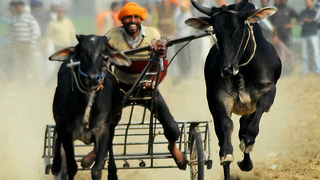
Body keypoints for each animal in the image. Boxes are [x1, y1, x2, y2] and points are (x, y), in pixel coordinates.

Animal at [49, 34, 131, 179]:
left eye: (104, 52)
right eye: (82, 51)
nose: (93, 78)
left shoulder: (102, 130)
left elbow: (97, 170)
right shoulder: (67, 131)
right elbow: (71, 167)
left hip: (114, 120)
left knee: (110, 142)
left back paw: (111, 171)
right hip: (58, 118)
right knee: (57, 134)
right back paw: (56, 165)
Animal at [186, 0, 282, 179]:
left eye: (237, 26)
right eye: (215, 30)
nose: (227, 69)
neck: (242, 70)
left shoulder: (267, 92)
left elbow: (254, 122)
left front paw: (248, 143)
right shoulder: (219, 98)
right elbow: (227, 124)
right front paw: (227, 153)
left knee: (244, 127)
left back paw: (246, 161)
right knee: (223, 135)